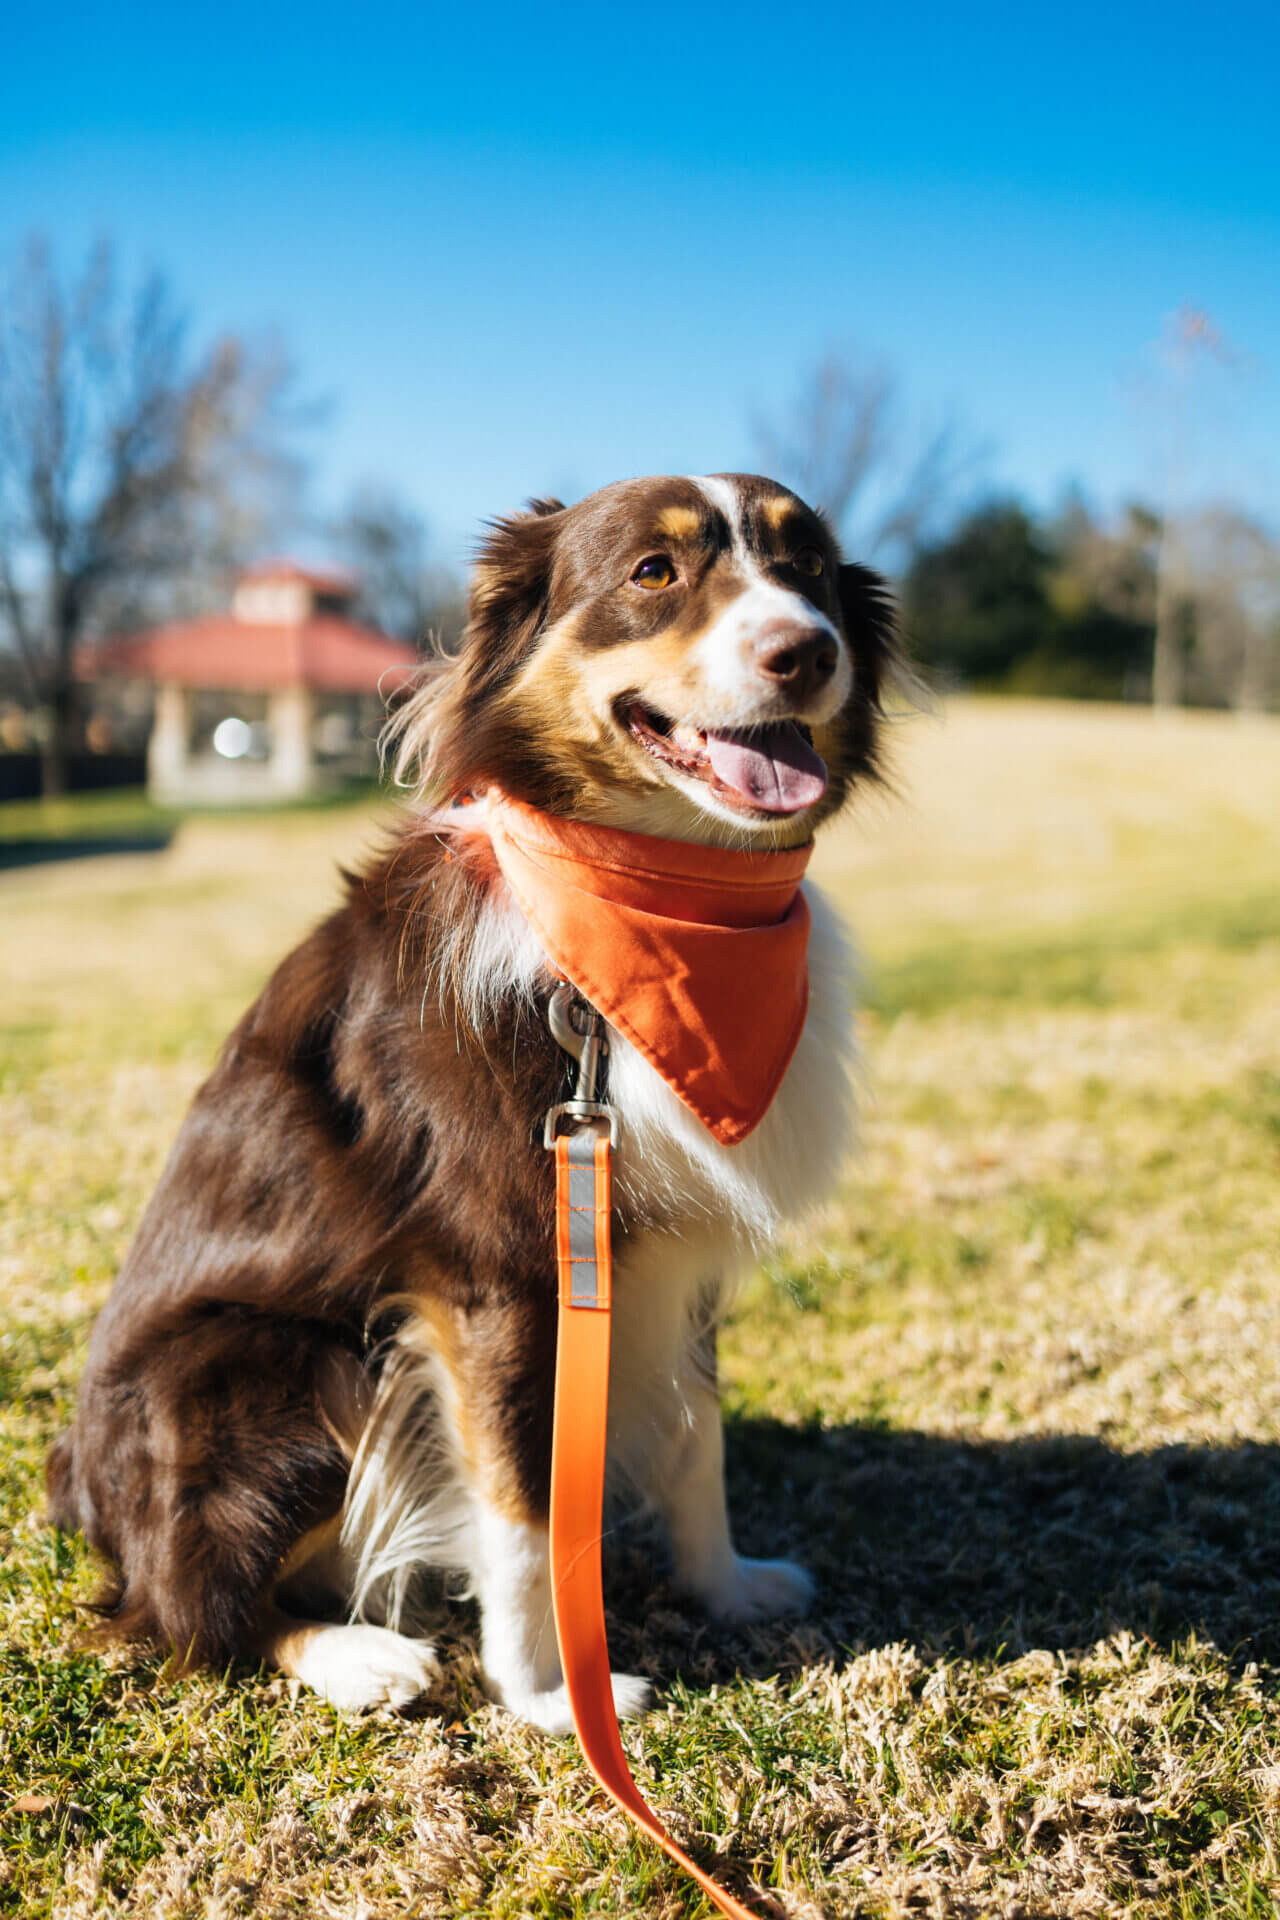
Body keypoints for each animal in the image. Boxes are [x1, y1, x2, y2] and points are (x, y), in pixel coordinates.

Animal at [45, 476, 898, 1728]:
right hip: (284, 1366)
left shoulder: (664, 1252)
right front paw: (546, 1696)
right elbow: (520, 1506)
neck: (649, 904)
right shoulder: (494, 1272)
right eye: (653, 572)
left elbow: (696, 1438)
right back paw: (360, 1656)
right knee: (181, 1608)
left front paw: (724, 1586)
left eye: (812, 570)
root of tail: (76, 1482)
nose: (805, 650)